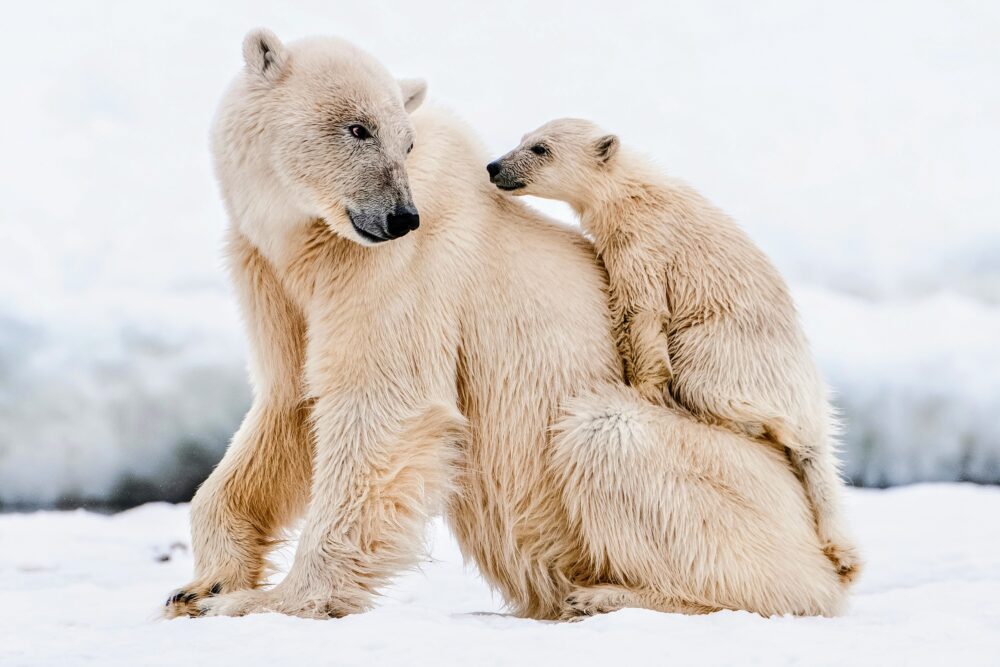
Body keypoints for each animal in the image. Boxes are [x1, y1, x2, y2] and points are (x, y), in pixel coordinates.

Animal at [487, 118, 861, 582]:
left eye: (541, 148)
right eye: (522, 139)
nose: (494, 166)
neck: (633, 193)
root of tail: (810, 398)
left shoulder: (645, 246)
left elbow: (643, 312)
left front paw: (644, 388)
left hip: (729, 352)